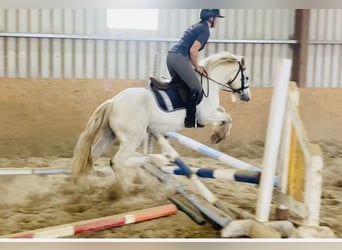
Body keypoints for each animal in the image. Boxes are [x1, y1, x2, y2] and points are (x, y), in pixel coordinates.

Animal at [71, 50, 251, 184]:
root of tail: (113, 102)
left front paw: (217, 133)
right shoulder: (205, 116)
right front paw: (219, 136)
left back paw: (85, 186)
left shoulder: (211, 112)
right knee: (117, 161)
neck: (210, 83)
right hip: (133, 139)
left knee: (93, 155)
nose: (247, 97)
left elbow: (223, 112)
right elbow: (228, 117)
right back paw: (129, 185)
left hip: (109, 135)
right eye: (247, 77)